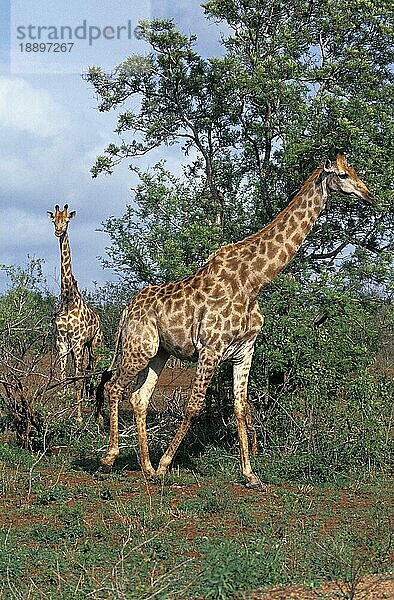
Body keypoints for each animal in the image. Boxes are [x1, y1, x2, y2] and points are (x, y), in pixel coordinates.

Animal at [47, 206, 104, 422]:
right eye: (54, 220)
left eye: (67, 221)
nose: (58, 231)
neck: (68, 299)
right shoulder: (62, 341)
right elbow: (64, 378)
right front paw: (63, 415)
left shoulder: (78, 341)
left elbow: (78, 380)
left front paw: (78, 418)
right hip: (80, 347)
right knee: (86, 371)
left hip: (95, 344)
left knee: (93, 371)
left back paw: (98, 415)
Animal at [97, 155, 374, 488]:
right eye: (344, 175)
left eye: (357, 172)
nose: (369, 196)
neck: (254, 282)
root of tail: (127, 309)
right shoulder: (210, 348)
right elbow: (194, 405)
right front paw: (166, 465)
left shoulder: (244, 351)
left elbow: (241, 407)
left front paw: (250, 474)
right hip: (139, 348)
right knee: (114, 387)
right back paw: (111, 458)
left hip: (158, 354)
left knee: (139, 398)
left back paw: (146, 467)